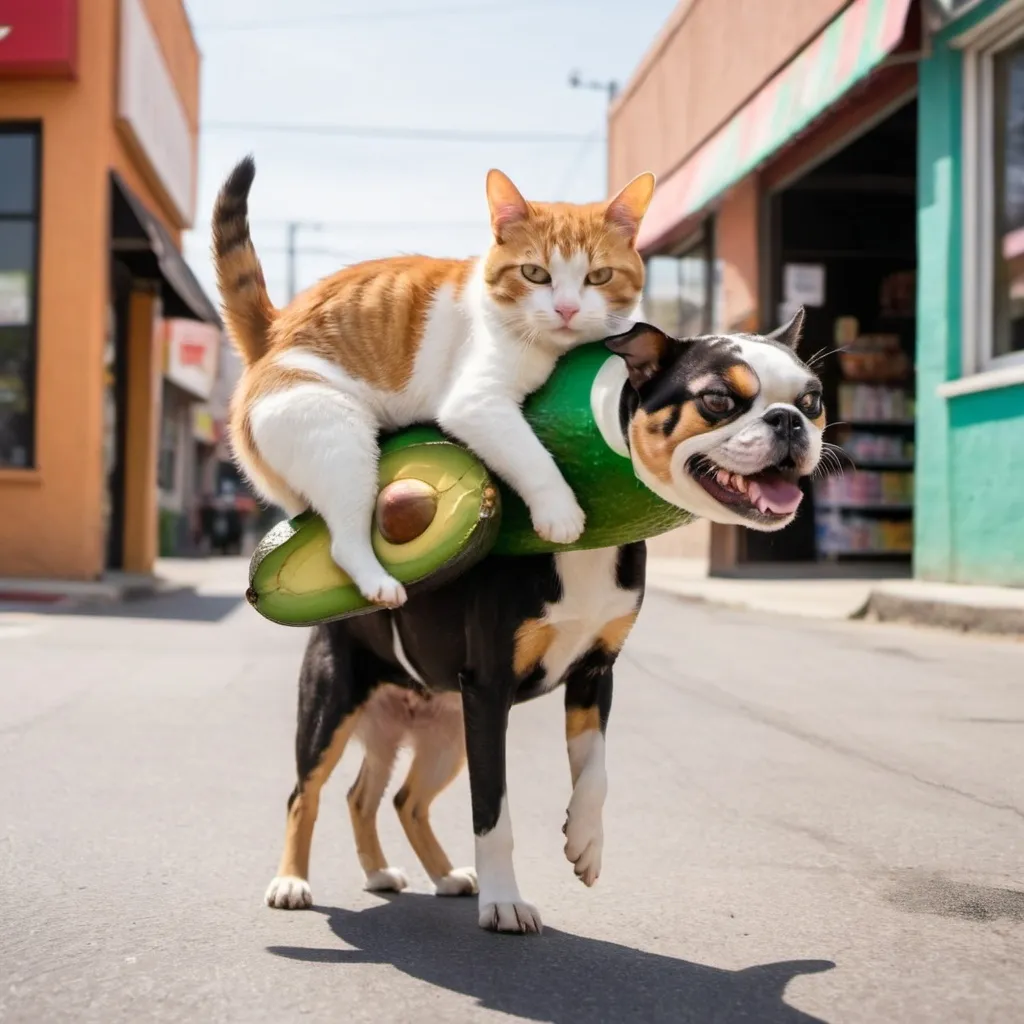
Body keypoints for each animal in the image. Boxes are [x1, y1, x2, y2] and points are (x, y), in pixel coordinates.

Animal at [214, 157, 655, 606]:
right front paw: (560, 512)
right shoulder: (477, 402)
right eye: (534, 273)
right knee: (344, 540)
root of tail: (272, 332)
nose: (566, 309)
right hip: (338, 438)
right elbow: (531, 455)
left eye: (599, 276)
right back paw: (380, 584)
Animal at [262, 311, 823, 937]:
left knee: (387, 798)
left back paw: (416, 874)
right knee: (304, 794)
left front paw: (585, 843)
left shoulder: (595, 676)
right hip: (333, 708)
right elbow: (493, 813)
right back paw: (292, 882)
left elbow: (596, 773)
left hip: (444, 733)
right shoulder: (488, 694)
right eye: (719, 400)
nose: (788, 420)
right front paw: (505, 903)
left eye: (814, 400)